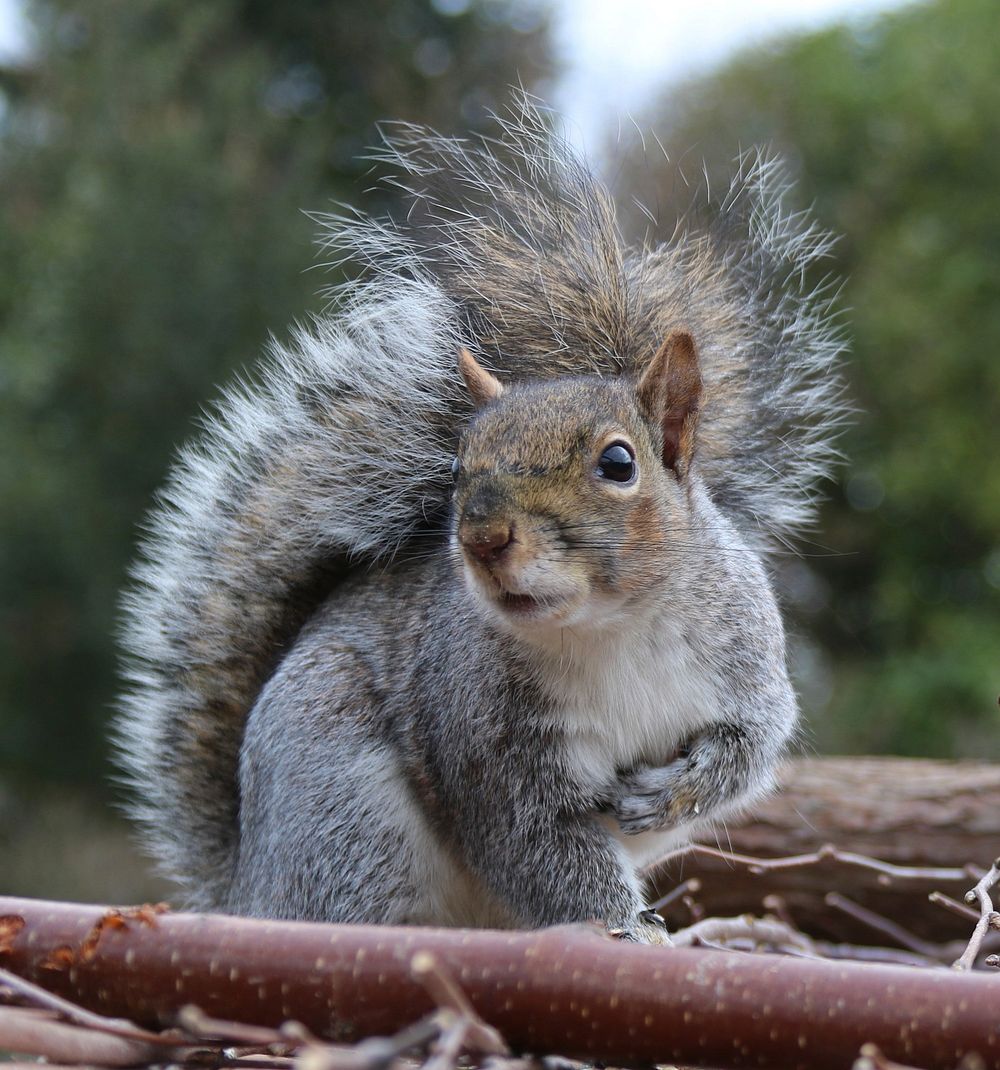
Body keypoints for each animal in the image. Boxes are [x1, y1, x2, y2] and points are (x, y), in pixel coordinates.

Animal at [113, 96, 847, 941]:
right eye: (458, 468)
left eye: (619, 464)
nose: (483, 538)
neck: (611, 629)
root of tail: (245, 887)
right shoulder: (486, 743)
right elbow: (542, 852)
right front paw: (625, 930)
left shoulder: (744, 663)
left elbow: (751, 747)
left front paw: (677, 793)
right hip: (343, 809)